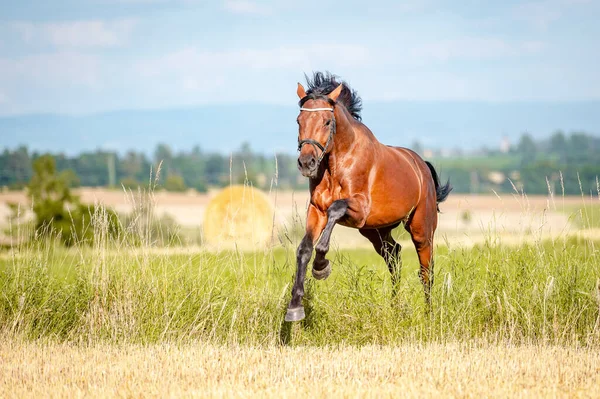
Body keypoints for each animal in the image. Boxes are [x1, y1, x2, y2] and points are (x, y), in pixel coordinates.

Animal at [286, 71, 450, 322]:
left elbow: (335, 210)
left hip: (421, 228)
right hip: (376, 231)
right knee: (394, 255)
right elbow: (304, 248)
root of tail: (421, 165)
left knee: (426, 270)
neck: (337, 162)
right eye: (299, 121)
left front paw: (321, 266)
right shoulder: (316, 210)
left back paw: (428, 313)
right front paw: (295, 306)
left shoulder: (359, 209)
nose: (307, 163)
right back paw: (395, 307)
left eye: (326, 121)